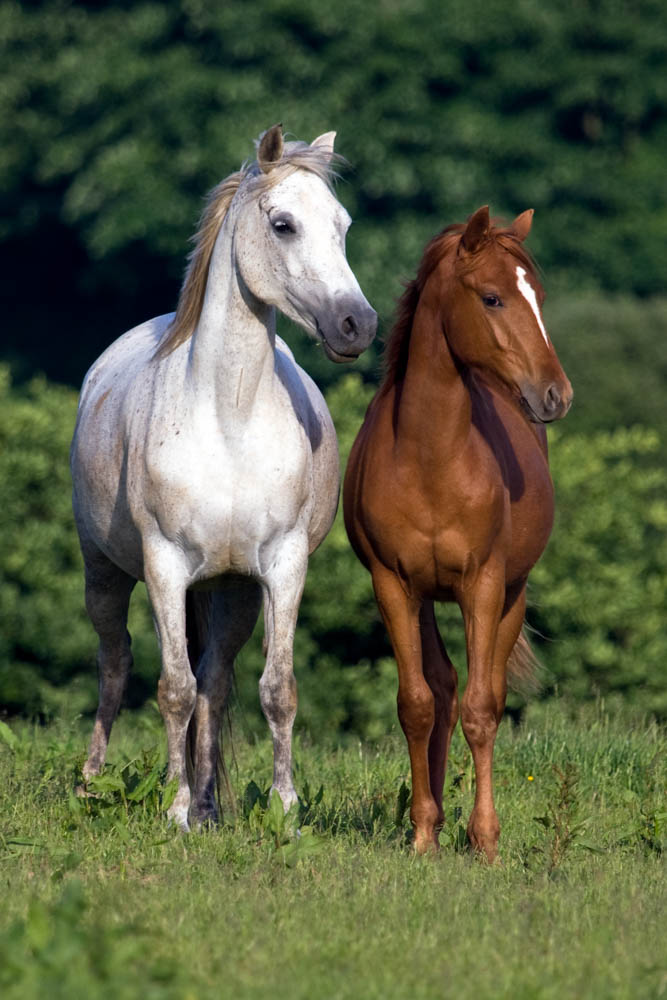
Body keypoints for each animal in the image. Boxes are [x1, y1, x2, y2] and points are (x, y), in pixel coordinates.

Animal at [72, 125, 378, 828]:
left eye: (343, 225)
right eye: (283, 224)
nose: (358, 324)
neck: (228, 416)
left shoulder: (283, 567)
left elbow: (275, 688)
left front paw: (285, 810)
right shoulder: (164, 566)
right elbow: (173, 690)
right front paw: (175, 808)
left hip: (234, 591)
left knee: (214, 677)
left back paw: (211, 803)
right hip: (104, 571)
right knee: (116, 662)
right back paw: (94, 783)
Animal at [348, 205, 572, 860]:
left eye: (538, 294)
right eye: (493, 297)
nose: (557, 394)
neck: (430, 456)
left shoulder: (484, 584)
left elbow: (482, 709)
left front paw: (487, 841)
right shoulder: (393, 586)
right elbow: (418, 704)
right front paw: (424, 833)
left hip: (510, 596)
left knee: (483, 695)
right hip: (425, 598)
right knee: (442, 690)